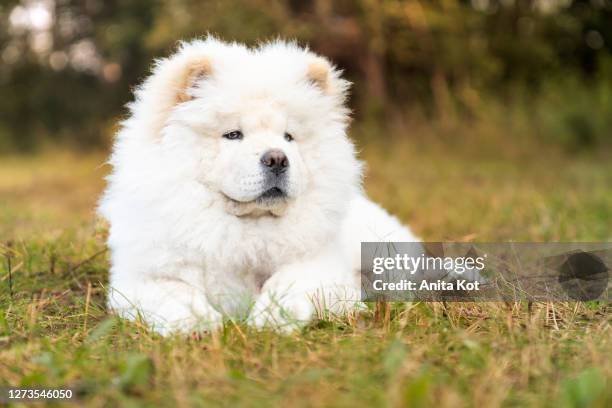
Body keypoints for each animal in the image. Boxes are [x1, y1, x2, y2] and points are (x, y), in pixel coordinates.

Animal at [99, 36, 420, 334]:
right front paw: (198, 324)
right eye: (233, 135)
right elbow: (176, 293)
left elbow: (286, 283)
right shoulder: (140, 277)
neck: (244, 229)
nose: (277, 158)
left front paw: (270, 319)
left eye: (288, 137)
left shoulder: (322, 265)